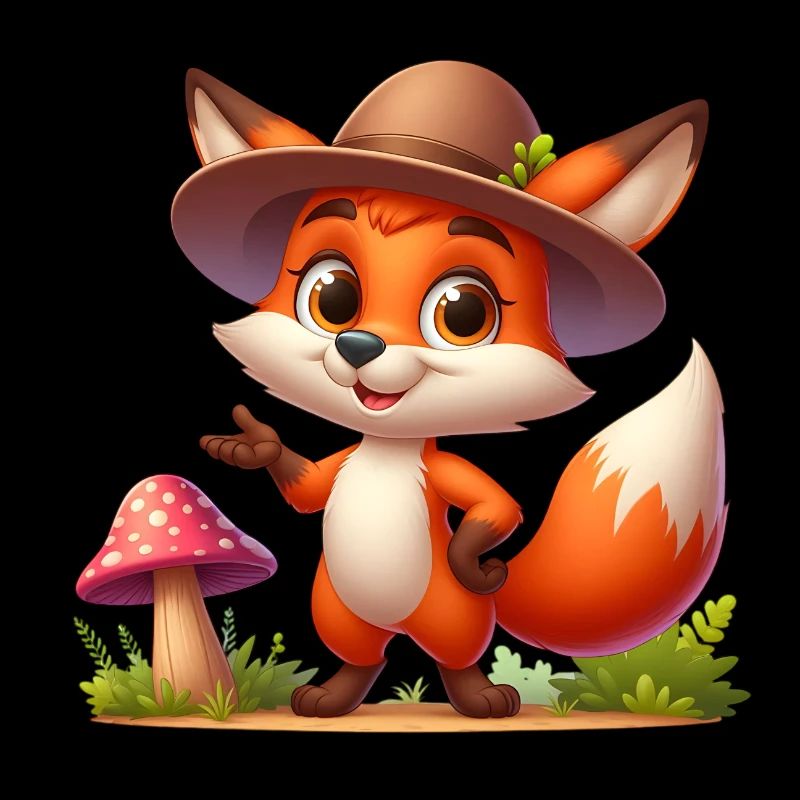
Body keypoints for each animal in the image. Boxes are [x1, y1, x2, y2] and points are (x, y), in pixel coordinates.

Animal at [172, 63, 726, 718]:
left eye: (462, 313)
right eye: (331, 296)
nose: (358, 345)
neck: (385, 449)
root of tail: (398, 626)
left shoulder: (453, 480)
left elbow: (497, 507)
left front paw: (473, 560)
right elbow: (308, 492)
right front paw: (252, 444)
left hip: (451, 616)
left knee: (456, 657)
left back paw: (481, 697)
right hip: (334, 608)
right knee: (365, 656)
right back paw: (332, 697)